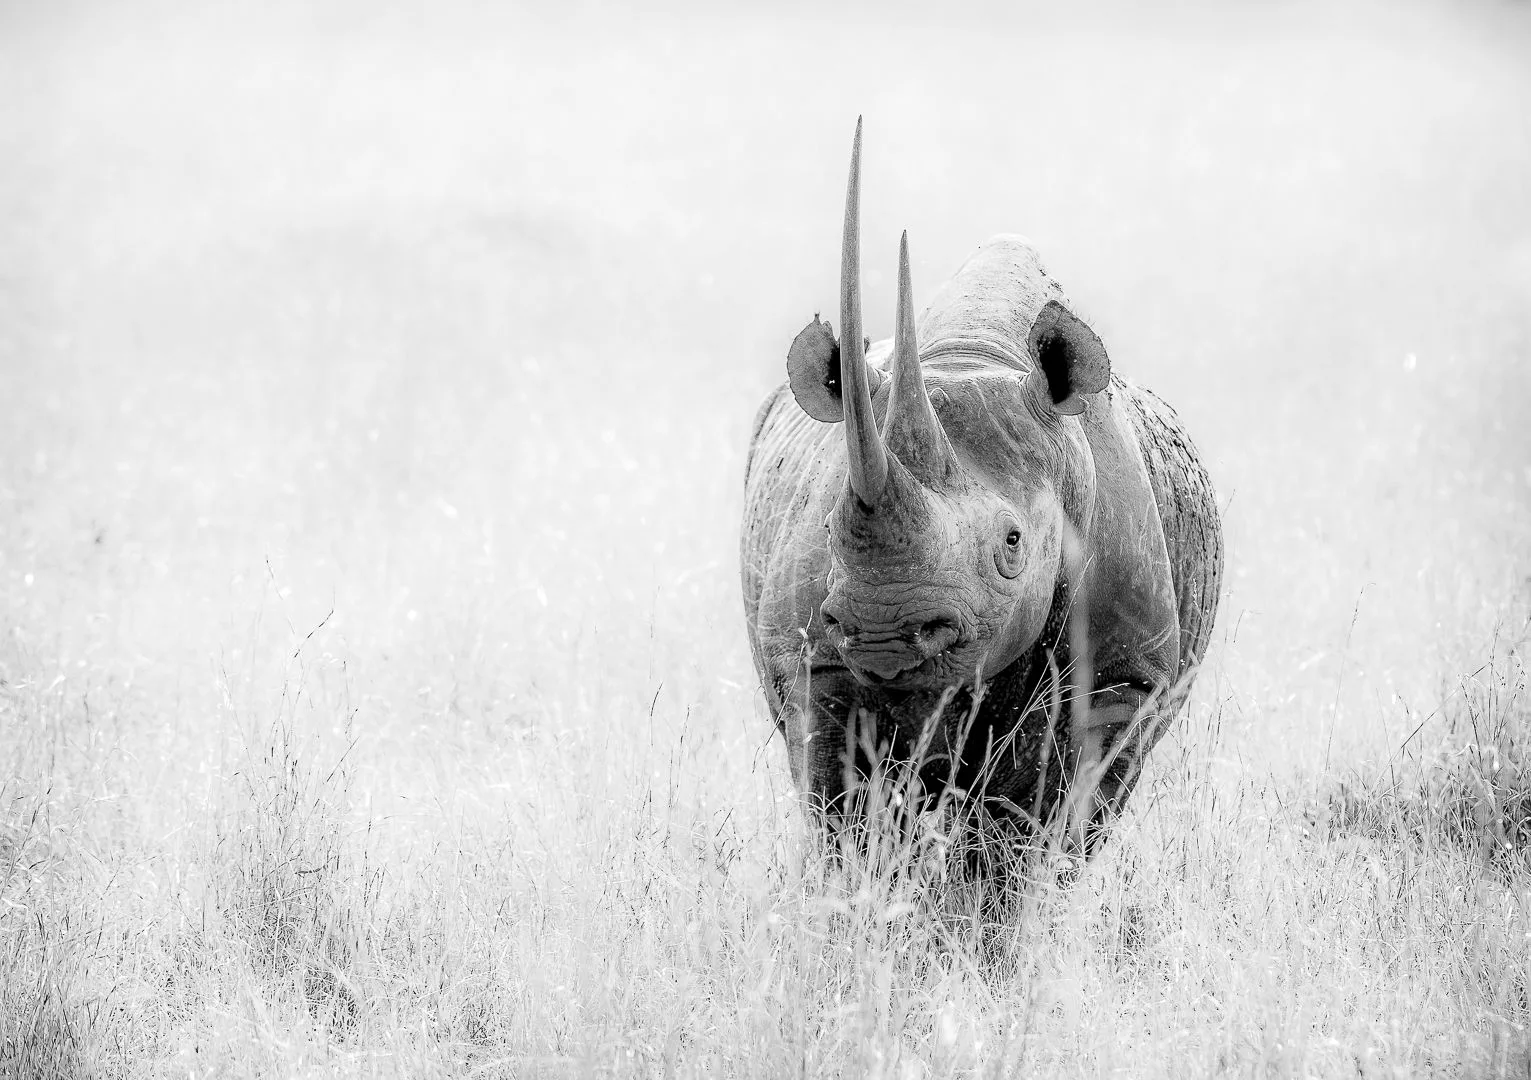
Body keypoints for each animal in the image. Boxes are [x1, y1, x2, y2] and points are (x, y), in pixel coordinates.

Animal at [740, 121, 1223, 859]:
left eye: (1012, 544)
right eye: (828, 530)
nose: (884, 632)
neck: (971, 357)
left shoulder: (1123, 676)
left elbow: (1031, 816)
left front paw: (994, 891)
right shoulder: (815, 661)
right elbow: (846, 809)